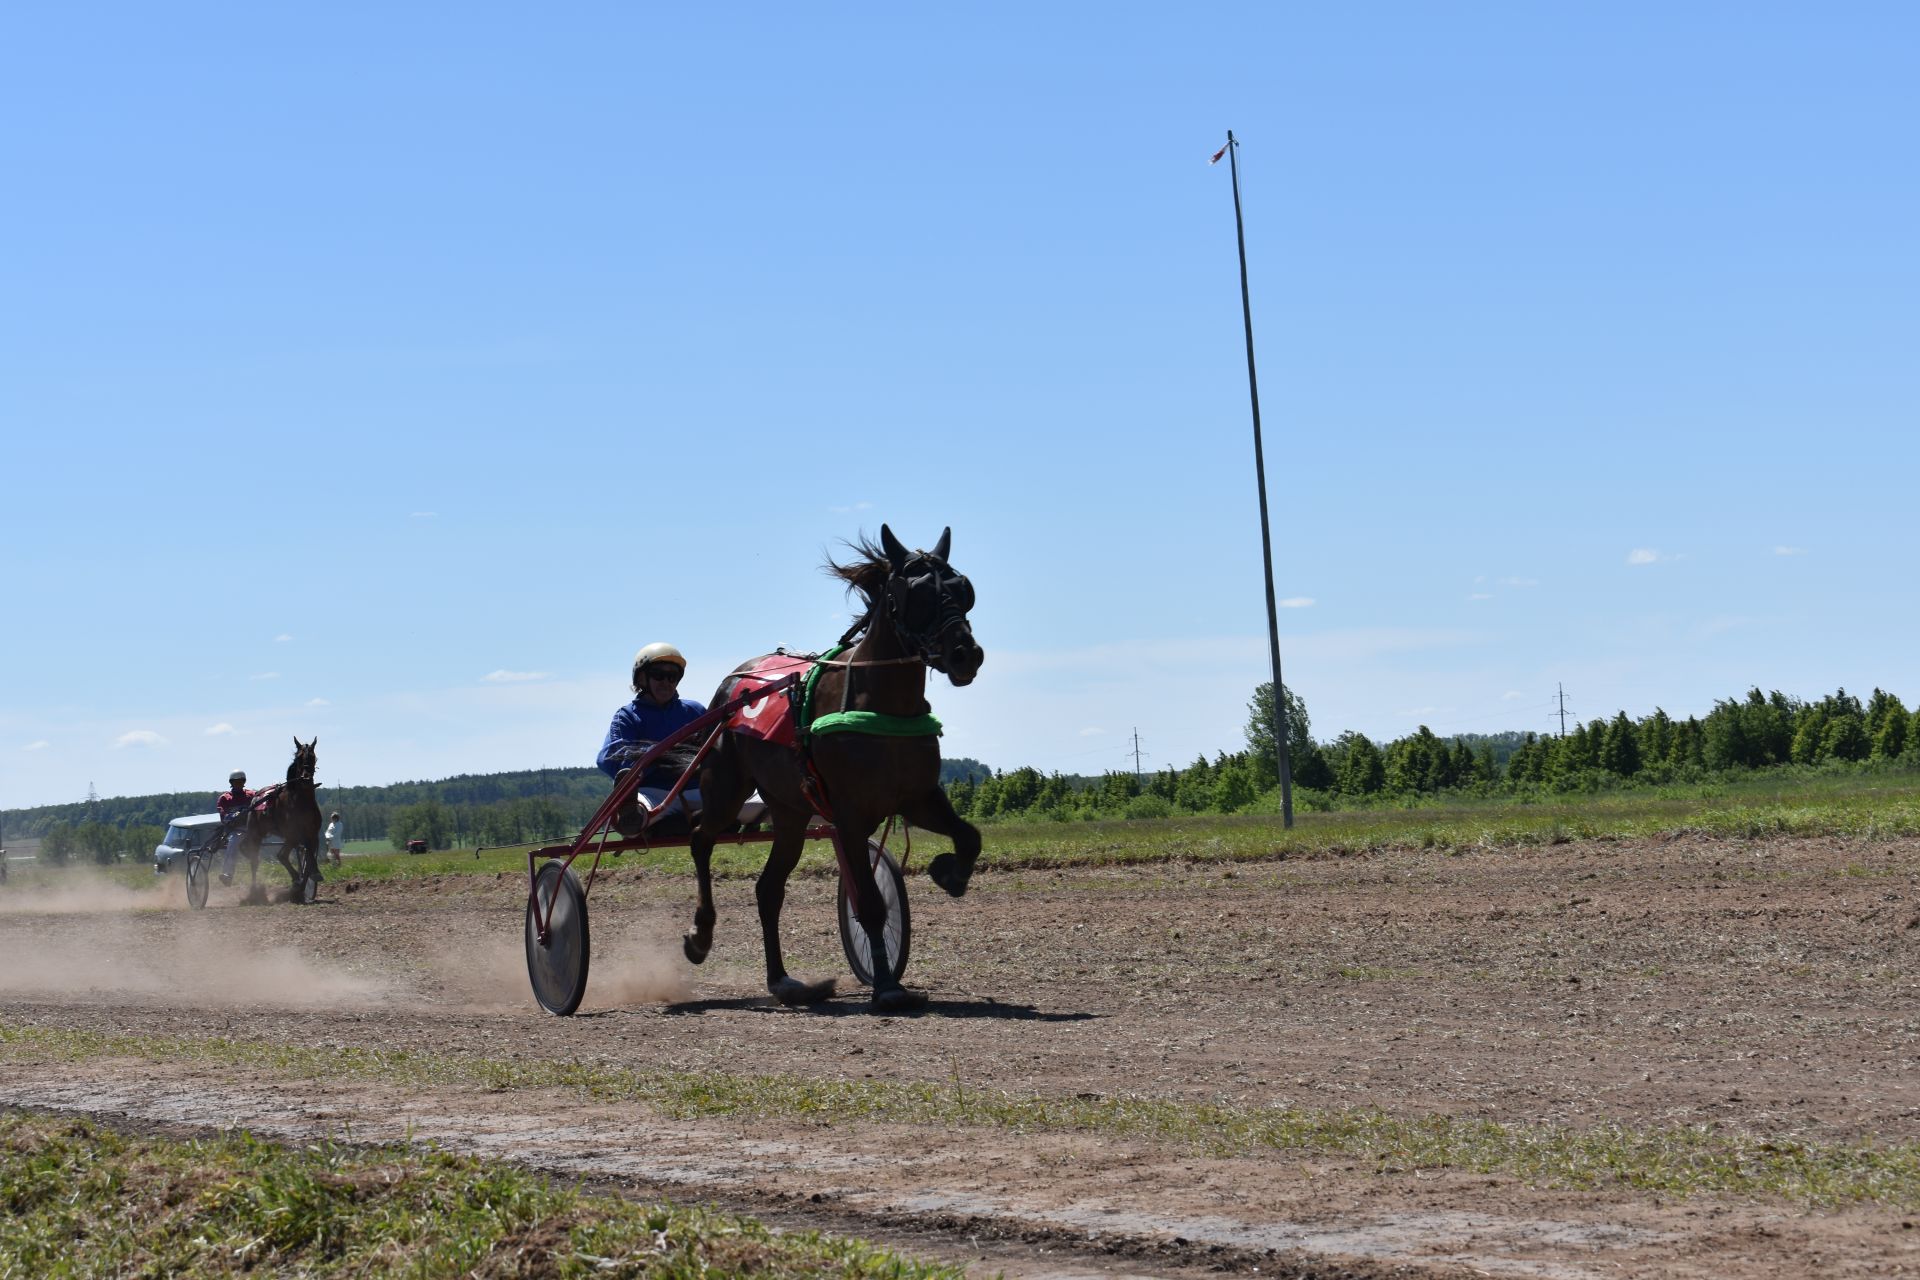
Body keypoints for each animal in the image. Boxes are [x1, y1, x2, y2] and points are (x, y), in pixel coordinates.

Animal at [238, 736, 328, 905]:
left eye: (313, 757)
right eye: (299, 757)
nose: (306, 777)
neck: (301, 802)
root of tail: (256, 797)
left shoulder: (312, 835)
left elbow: (308, 859)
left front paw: (308, 880)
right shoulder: (293, 834)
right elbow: (288, 856)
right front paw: (298, 885)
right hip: (256, 834)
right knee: (256, 861)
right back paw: (254, 892)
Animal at [687, 525, 983, 1013]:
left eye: (964, 588)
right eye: (917, 592)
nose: (966, 654)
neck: (879, 704)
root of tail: (735, 680)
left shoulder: (918, 797)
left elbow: (969, 837)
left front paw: (950, 873)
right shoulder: (849, 815)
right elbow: (870, 903)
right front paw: (887, 986)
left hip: (789, 810)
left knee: (768, 890)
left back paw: (783, 981)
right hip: (725, 787)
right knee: (700, 838)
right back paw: (699, 935)